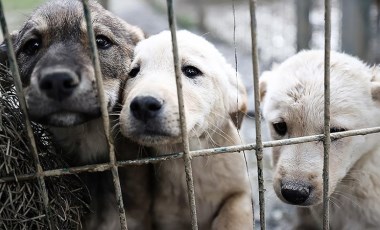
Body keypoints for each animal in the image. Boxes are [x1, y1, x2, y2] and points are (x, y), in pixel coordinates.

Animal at [120, 31, 254, 230]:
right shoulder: (167, 218)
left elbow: (234, 213)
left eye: (191, 71)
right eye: (133, 72)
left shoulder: (241, 191)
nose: (143, 105)